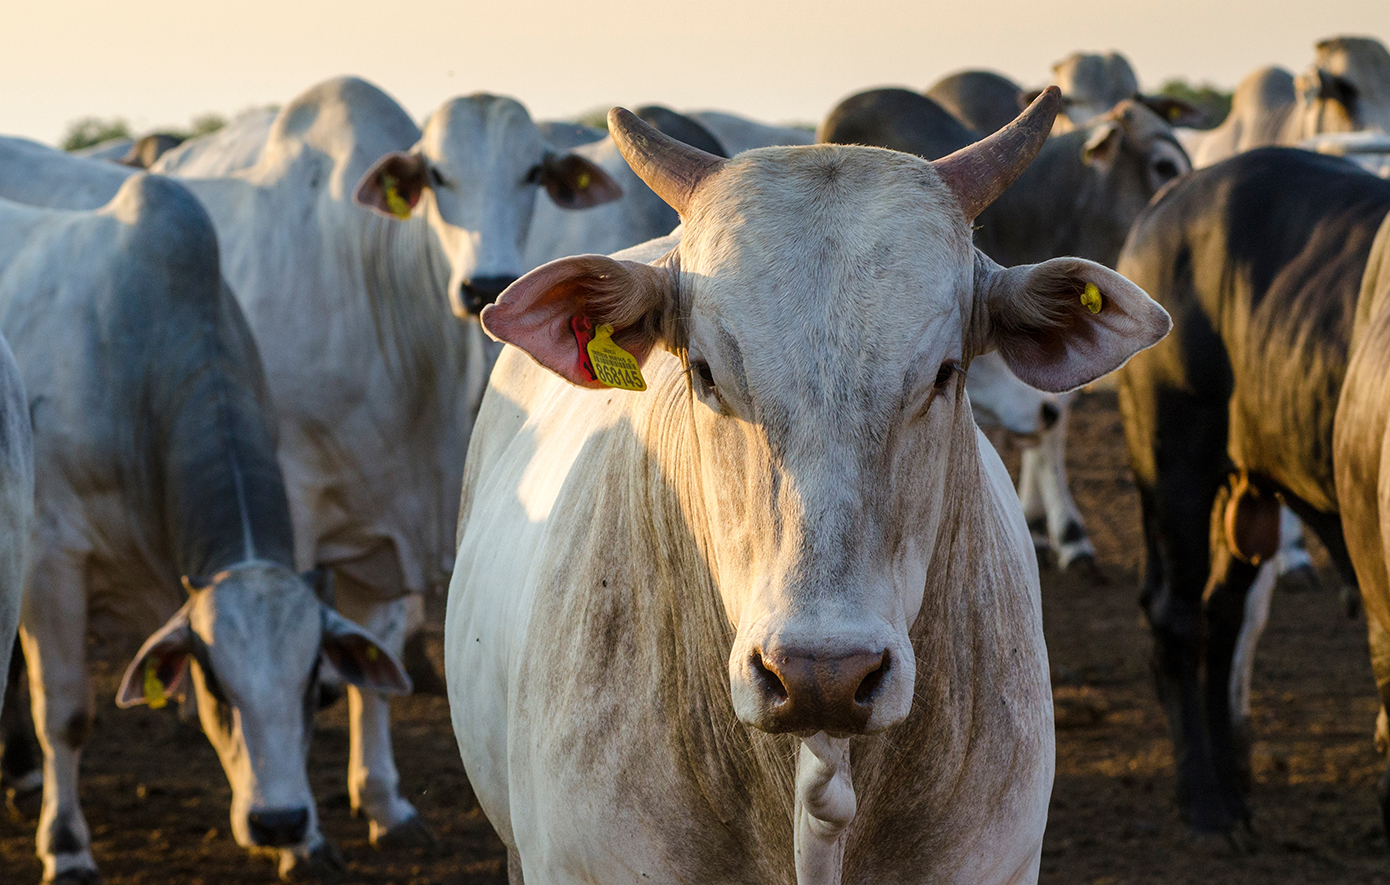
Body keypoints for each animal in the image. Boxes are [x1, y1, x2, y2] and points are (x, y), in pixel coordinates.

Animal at [146, 77, 619, 850]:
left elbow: (375, 652)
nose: (484, 282)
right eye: (437, 176)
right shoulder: (293, 504)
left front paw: (382, 801)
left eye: (532, 173)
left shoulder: (386, 530)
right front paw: (302, 833)